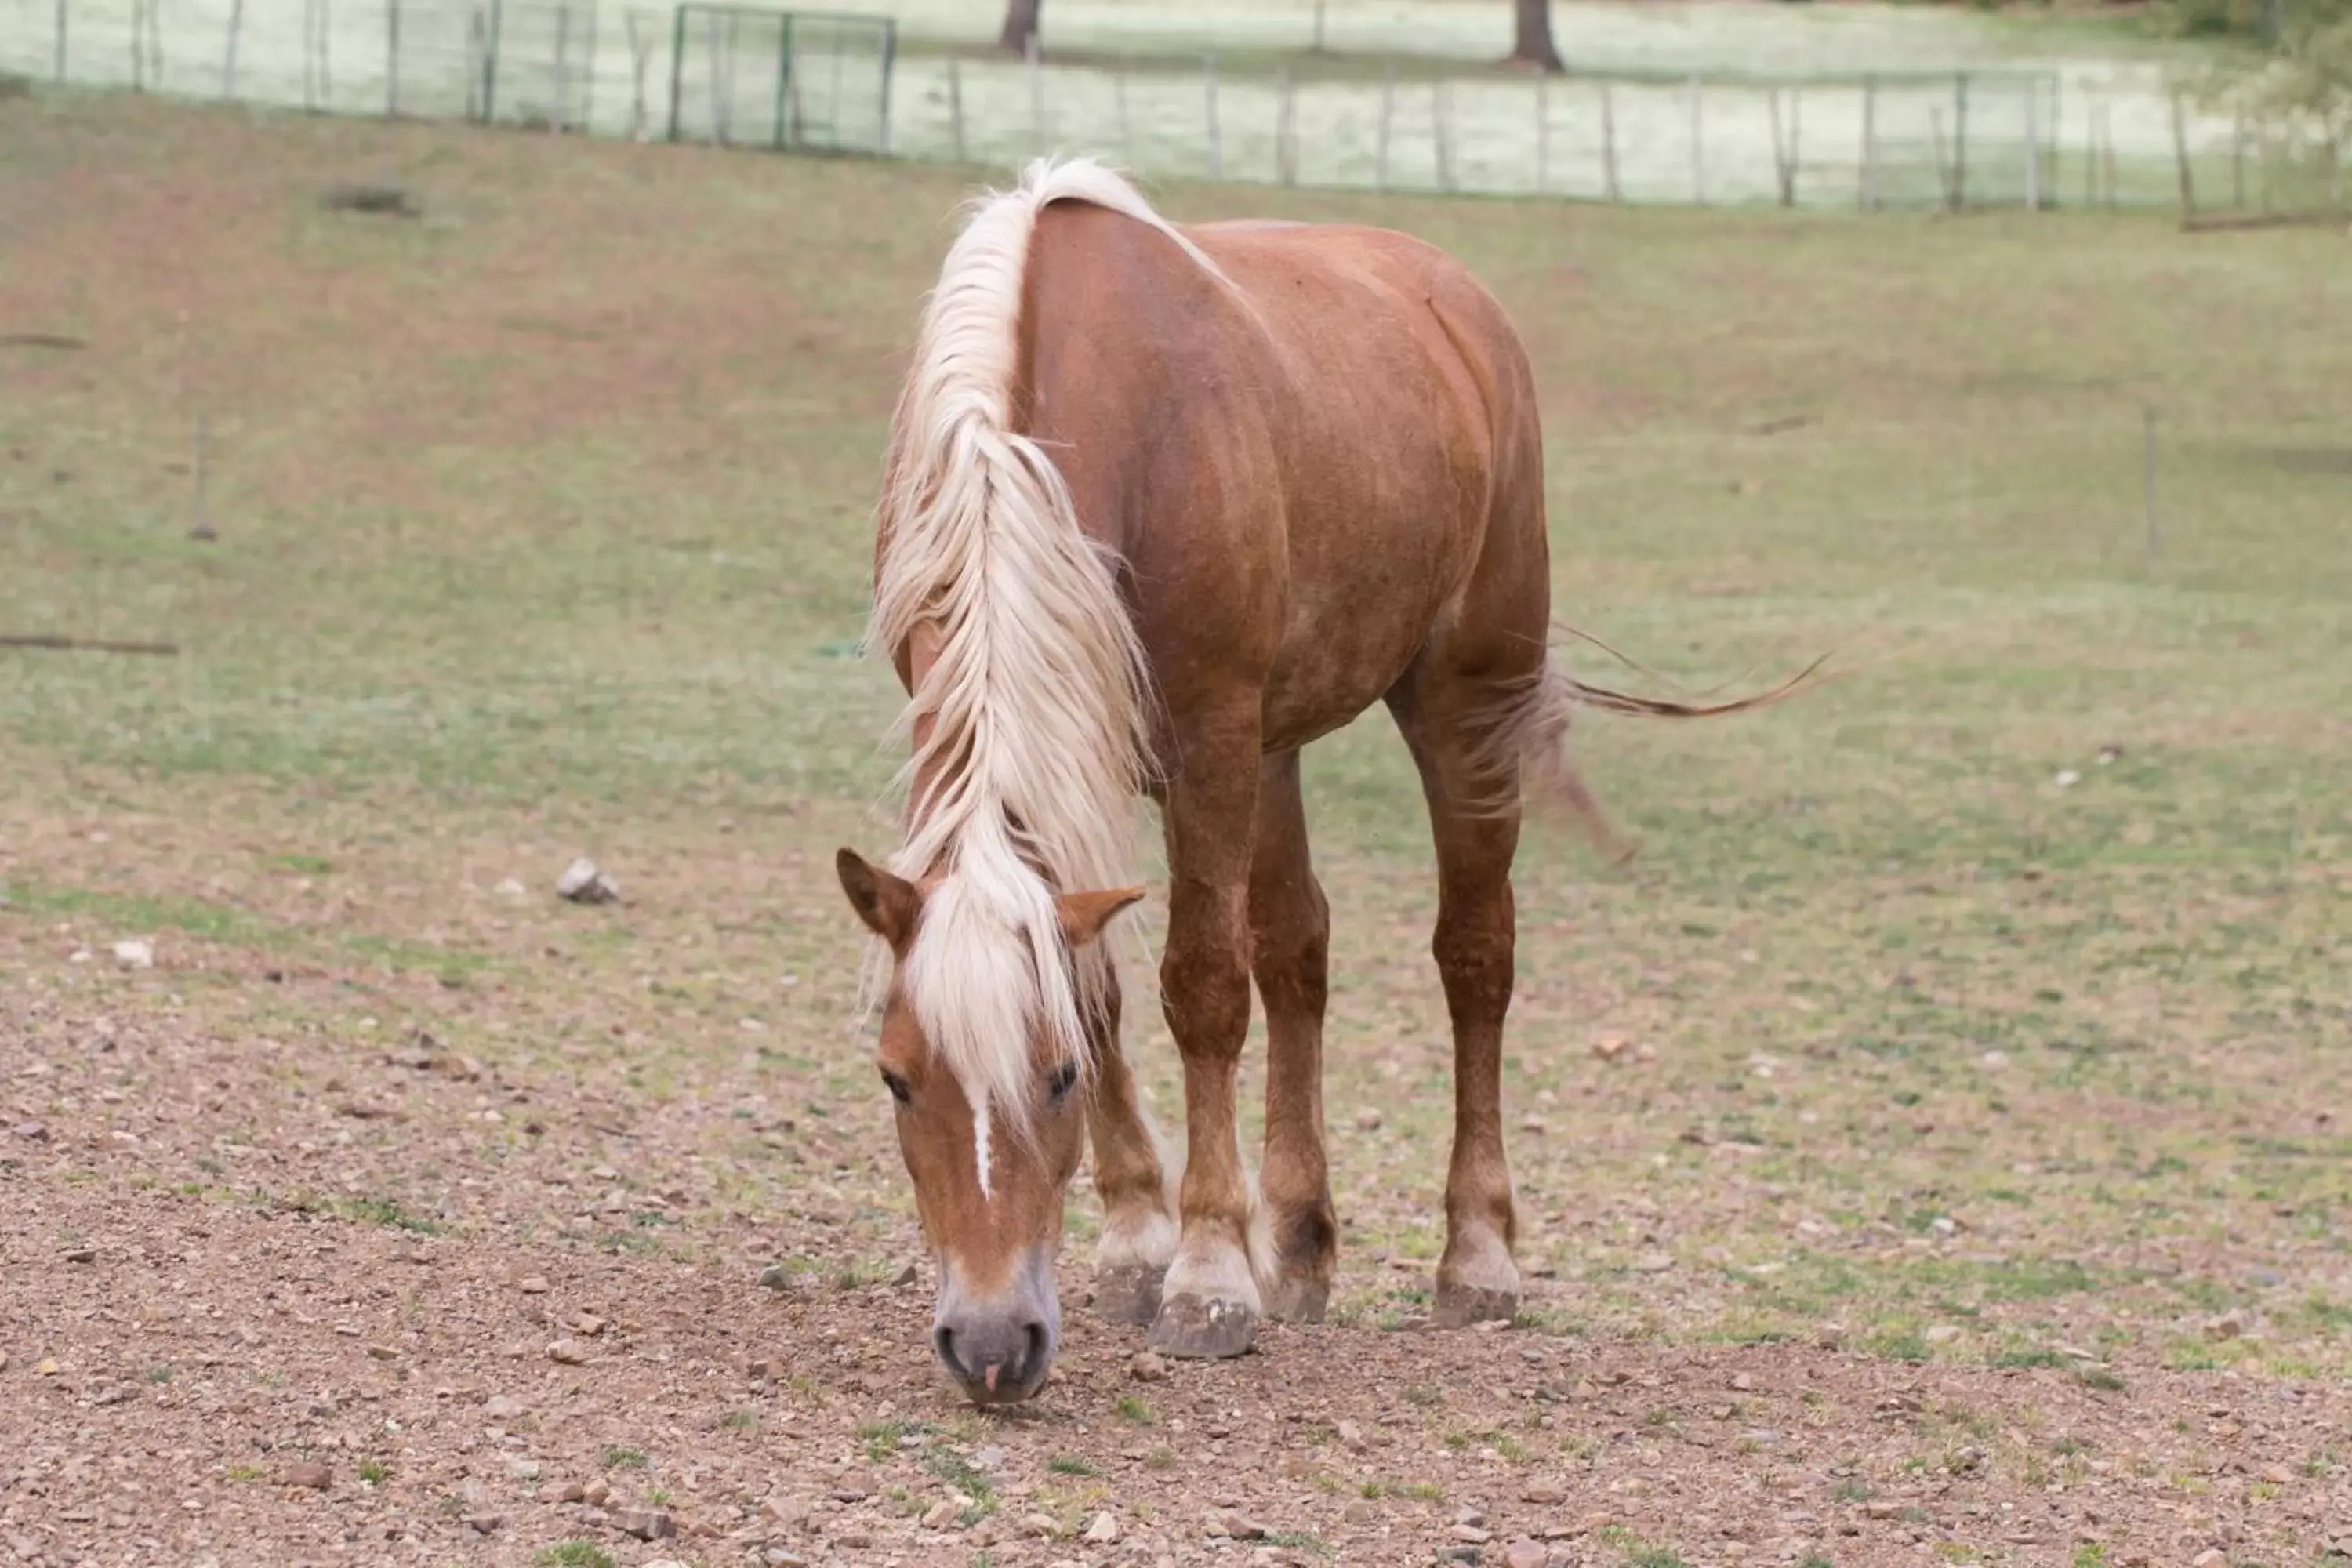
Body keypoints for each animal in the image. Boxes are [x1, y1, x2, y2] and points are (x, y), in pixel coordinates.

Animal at [847, 162, 1797, 1410]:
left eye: (1053, 1081)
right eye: (896, 1080)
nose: (993, 1344)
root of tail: (1457, 301)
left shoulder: (1207, 740)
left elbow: (1202, 989)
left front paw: (1206, 1275)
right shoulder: (1082, 752)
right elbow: (1110, 984)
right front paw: (1142, 1243)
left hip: (1459, 703)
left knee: (1475, 957)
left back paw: (1476, 1258)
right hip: (1276, 750)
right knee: (1298, 946)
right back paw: (1299, 1242)